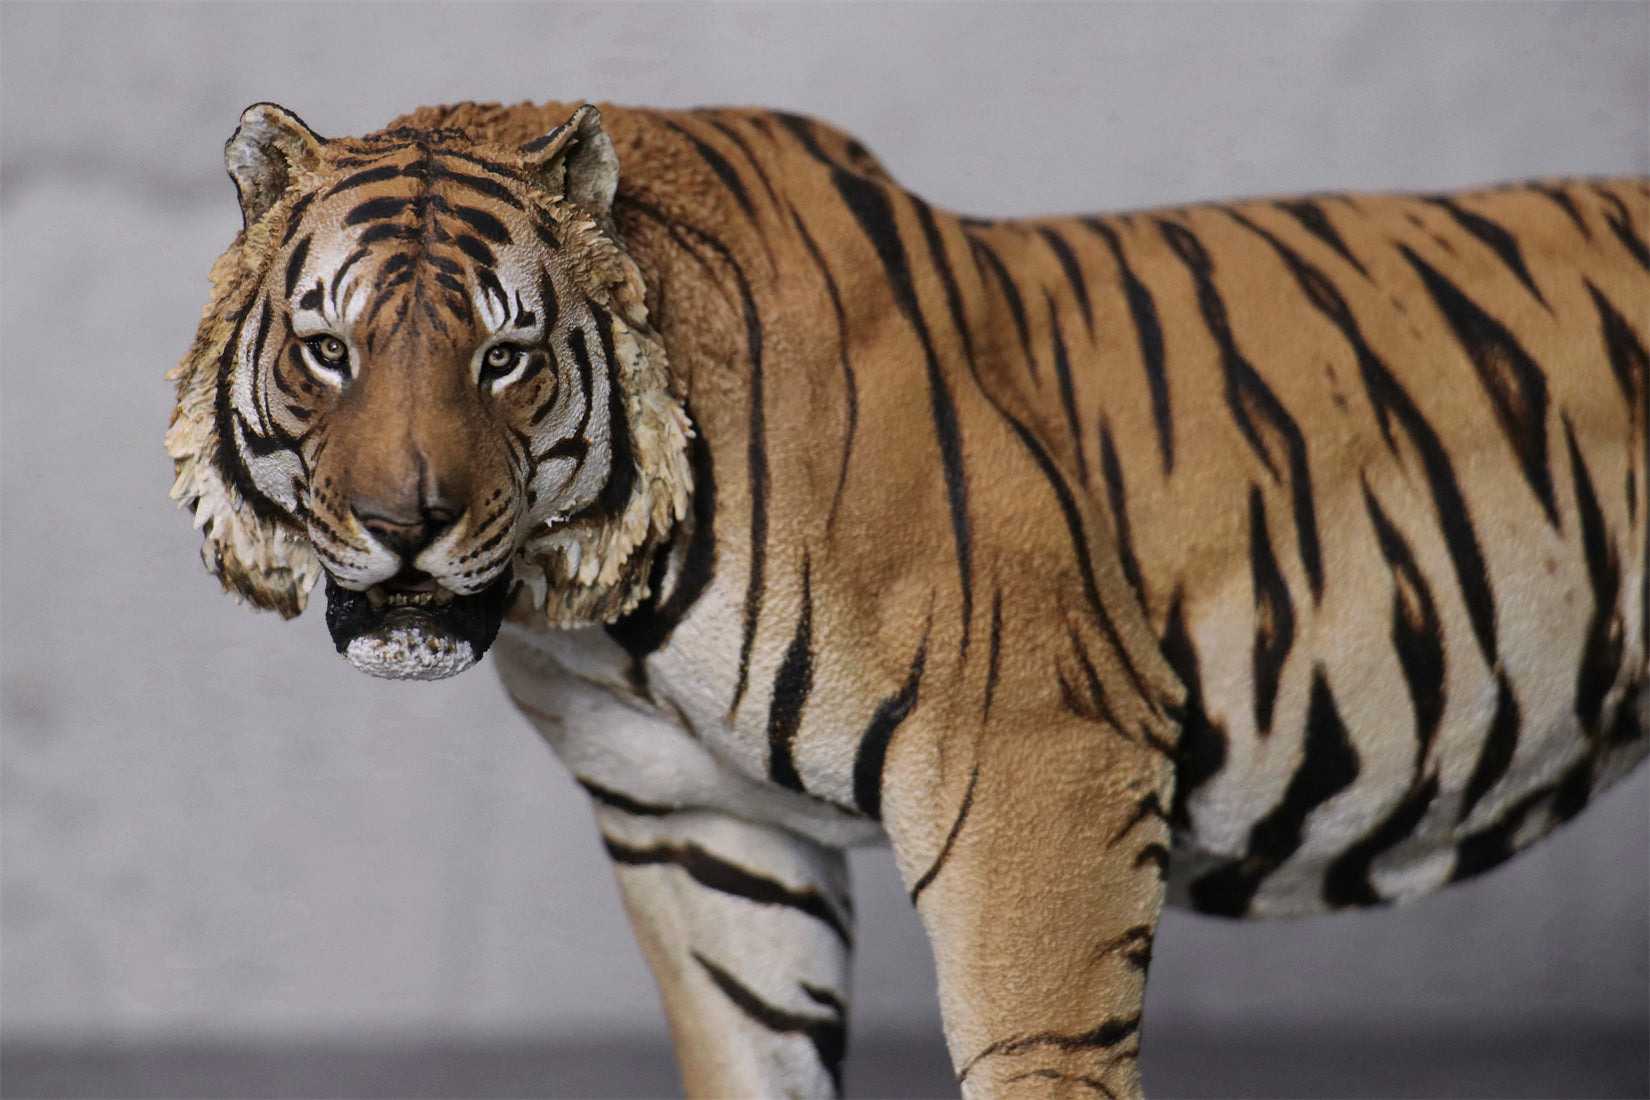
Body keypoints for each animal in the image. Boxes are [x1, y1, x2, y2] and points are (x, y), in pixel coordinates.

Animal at [167, 98, 1649, 1098]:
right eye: (327, 351)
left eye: (504, 358)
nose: (402, 526)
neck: (601, 619)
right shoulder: (701, 829)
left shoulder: (1043, 771)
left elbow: (1036, 1051)